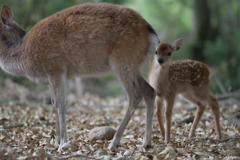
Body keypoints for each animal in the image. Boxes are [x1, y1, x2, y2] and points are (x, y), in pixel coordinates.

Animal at [0, 3, 159, 151]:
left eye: (23, 31)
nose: (22, 34)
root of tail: (153, 36)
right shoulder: (51, 77)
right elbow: (53, 103)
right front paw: (56, 141)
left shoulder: (56, 68)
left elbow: (60, 104)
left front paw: (62, 144)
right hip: (133, 65)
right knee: (149, 90)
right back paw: (146, 143)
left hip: (122, 59)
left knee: (135, 94)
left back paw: (113, 143)